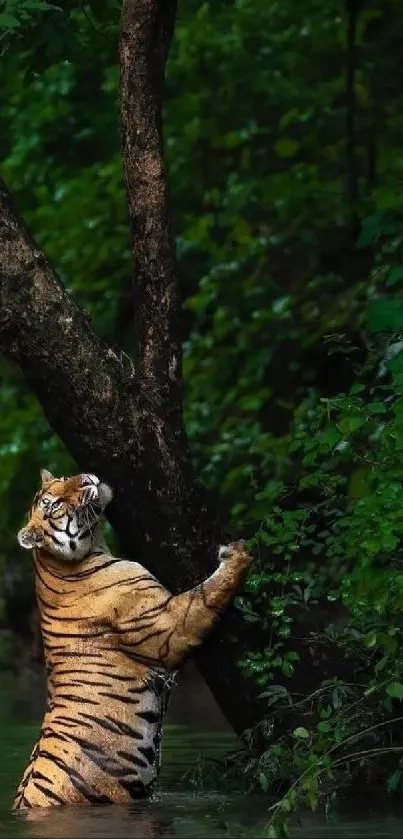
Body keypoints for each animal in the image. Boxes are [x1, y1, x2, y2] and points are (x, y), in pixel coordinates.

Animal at [13, 470, 252, 812]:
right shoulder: (169, 623)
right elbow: (205, 594)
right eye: (55, 503)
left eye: (66, 478)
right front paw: (238, 554)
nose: (86, 479)